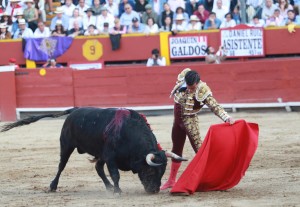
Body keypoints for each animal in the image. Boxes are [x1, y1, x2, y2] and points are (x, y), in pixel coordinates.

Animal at [1, 107, 186, 193]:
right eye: (150, 171)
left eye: (162, 172)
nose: (154, 190)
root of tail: (75, 110)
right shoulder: (110, 157)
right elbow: (116, 174)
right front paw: (118, 191)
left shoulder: (106, 156)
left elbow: (105, 171)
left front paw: (114, 189)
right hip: (66, 146)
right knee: (61, 166)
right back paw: (53, 186)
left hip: (98, 153)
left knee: (98, 168)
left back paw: (108, 187)